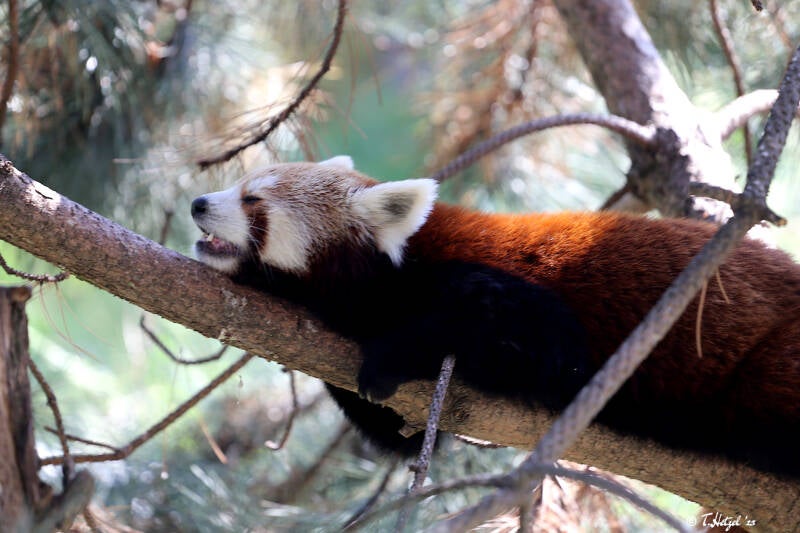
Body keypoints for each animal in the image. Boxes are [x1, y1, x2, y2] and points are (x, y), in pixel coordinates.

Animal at [191, 156, 800, 477]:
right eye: (238, 186)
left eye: (253, 200)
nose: (197, 202)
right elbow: (404, 440)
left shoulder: (511, 297)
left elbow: (530, 342)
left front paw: (386, 360)